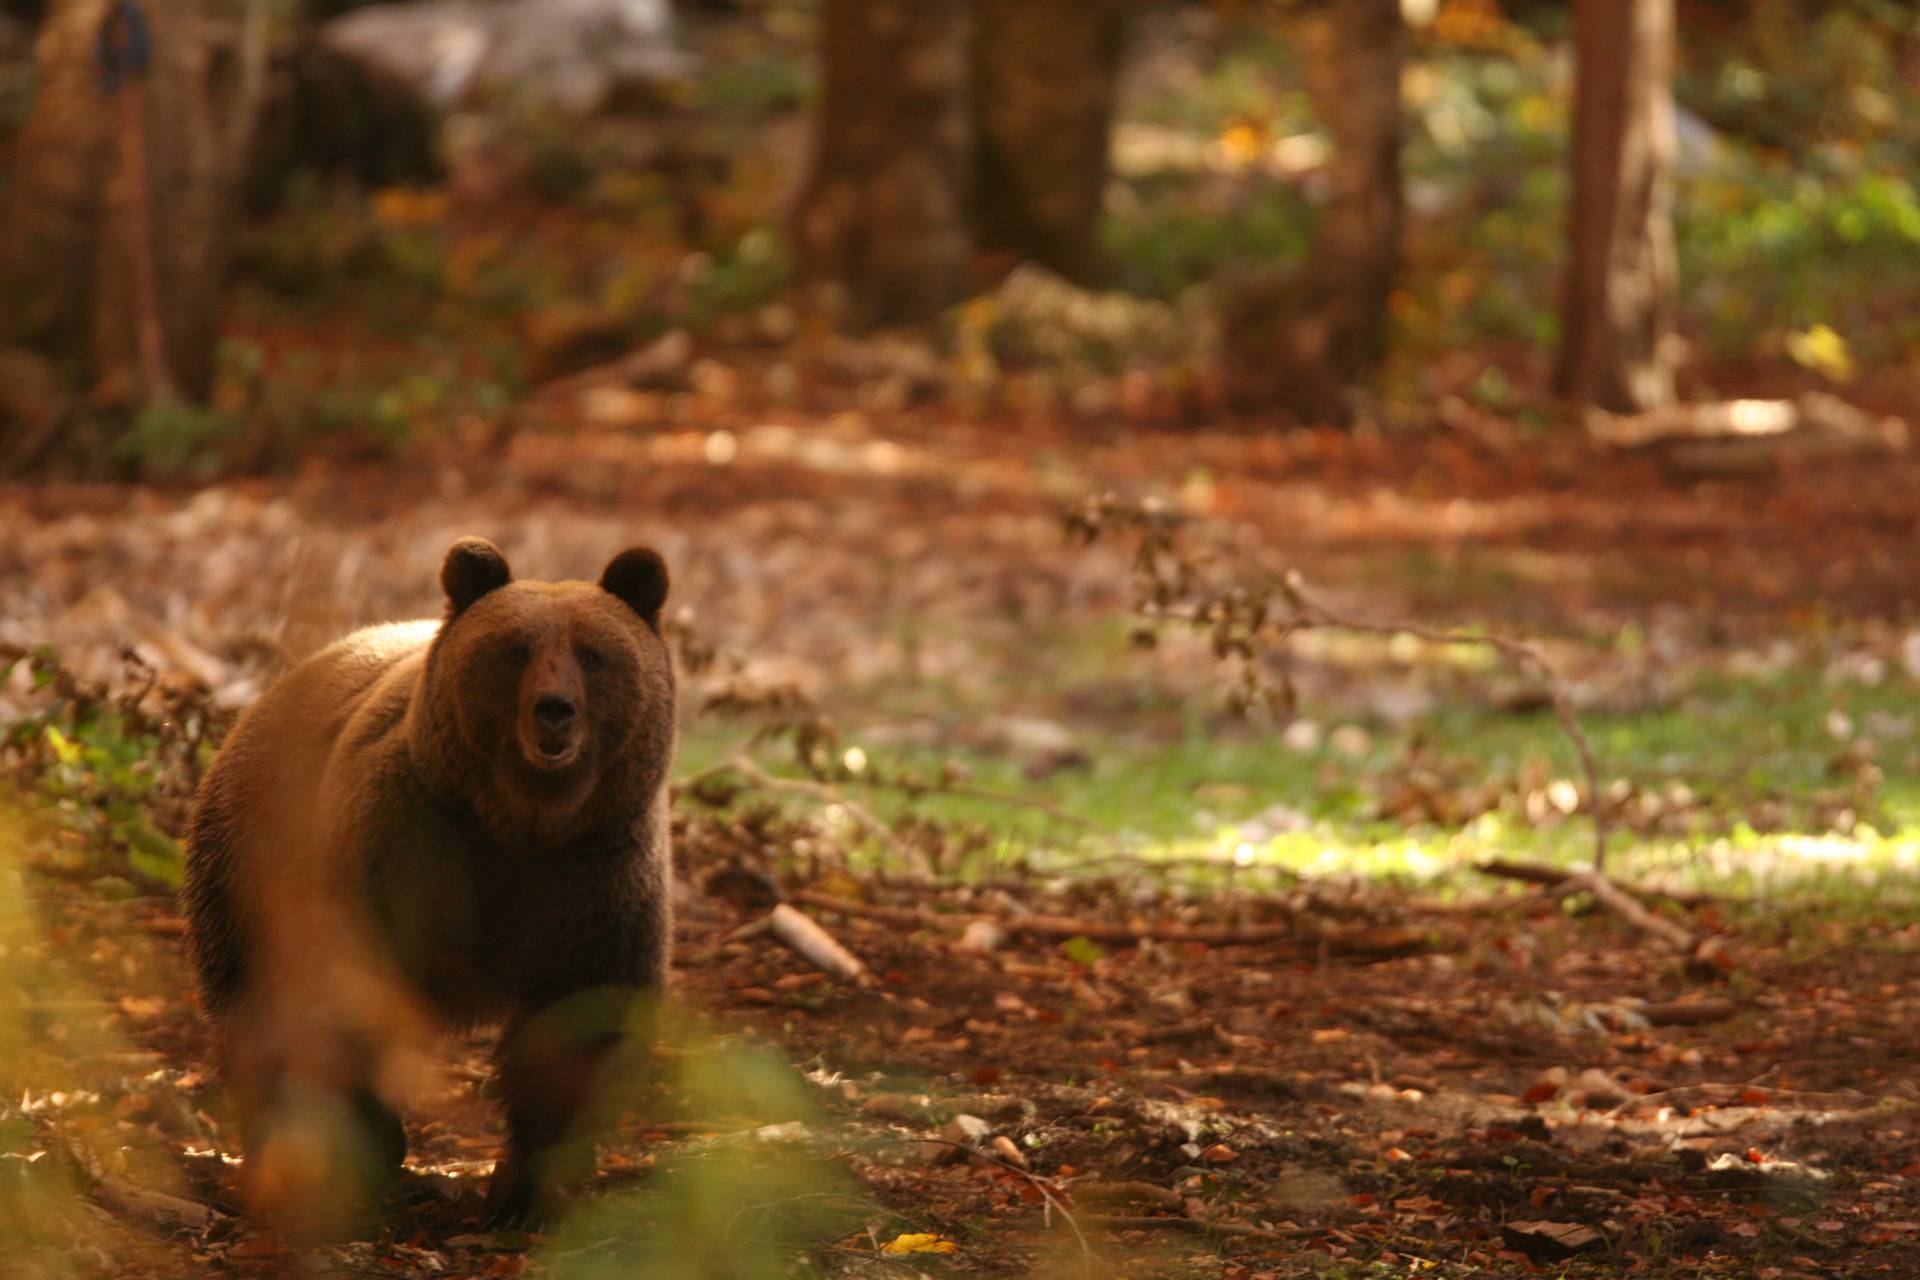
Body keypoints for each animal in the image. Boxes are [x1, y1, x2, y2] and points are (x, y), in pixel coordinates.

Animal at [181, 537, 675, 1228]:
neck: (520, 823)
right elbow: (341, 998)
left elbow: (578, 1025)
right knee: (254, 1003)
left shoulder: (594, 880)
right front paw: (361, 1146)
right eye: (515, 650)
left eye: (593, 653)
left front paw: (525, 1191)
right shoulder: (408, 848)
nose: (554, 711)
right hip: (247, 855)